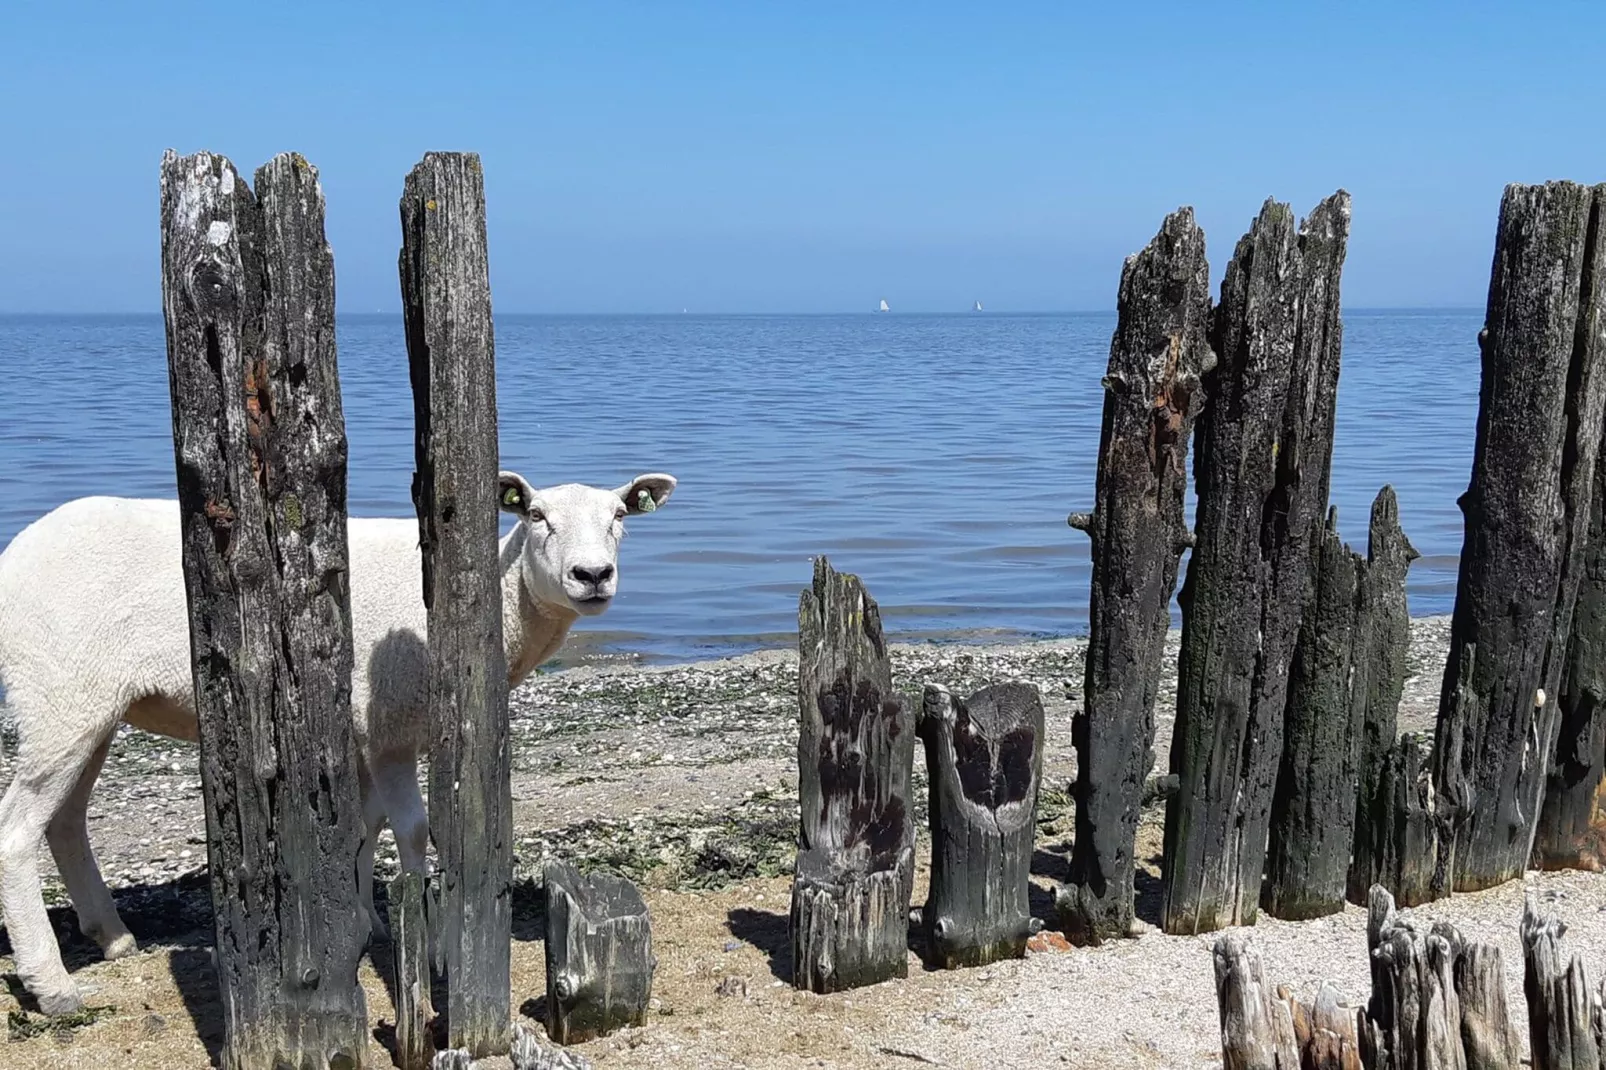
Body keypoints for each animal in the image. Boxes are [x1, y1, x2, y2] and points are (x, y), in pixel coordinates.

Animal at [0, 465, 674, 1008]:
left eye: (619, 516)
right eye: (536, 516)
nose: (593, 575)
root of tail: (17, 550)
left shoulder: (366, 733)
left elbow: (364, 827)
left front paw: (365, 919)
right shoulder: (390, 723)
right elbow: (413, 831)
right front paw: (427, 946)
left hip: (88, 704)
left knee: (65, 820)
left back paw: (111, 936)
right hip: (58, 693)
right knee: (17, 830)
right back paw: (52, 986)